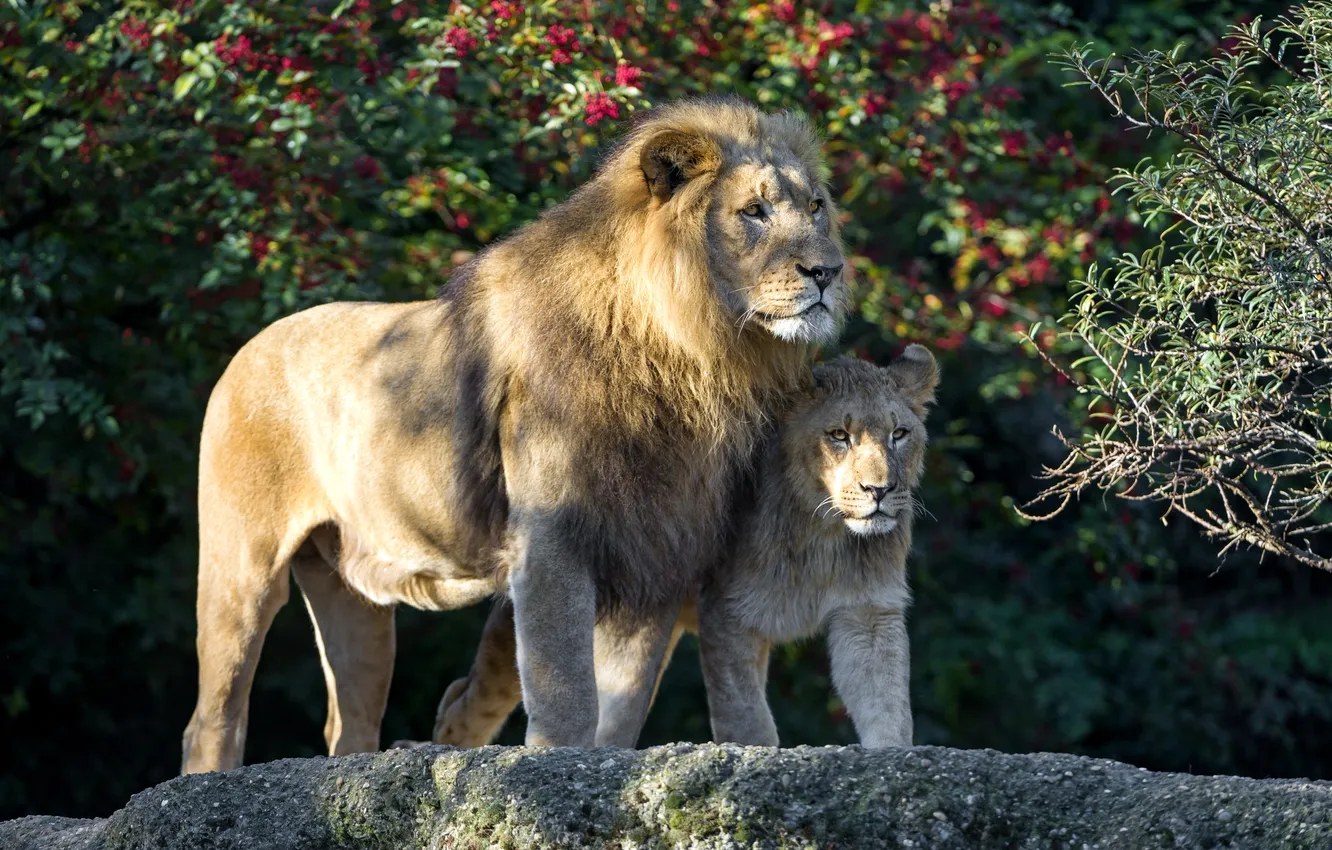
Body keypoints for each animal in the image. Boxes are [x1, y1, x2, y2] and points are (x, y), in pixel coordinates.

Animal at [181, 97, 848, 773]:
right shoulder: (554, 535)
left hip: (356, 600)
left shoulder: (657, 551)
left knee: (351, 722)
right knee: (212, 717)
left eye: (816, 207)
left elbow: (623, 704)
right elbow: (566, 690)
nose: (828, 271)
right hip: (241, 569)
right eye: (753, 212)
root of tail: (246, 350)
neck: (695, 355)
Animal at [430, 347, 938, 750]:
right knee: (467, 695)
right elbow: (746, 718)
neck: (824, 533)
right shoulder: (728, 615)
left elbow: (887, 704)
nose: (880, 490)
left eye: (899, 434)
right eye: (838, 436)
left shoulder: (868, 614)